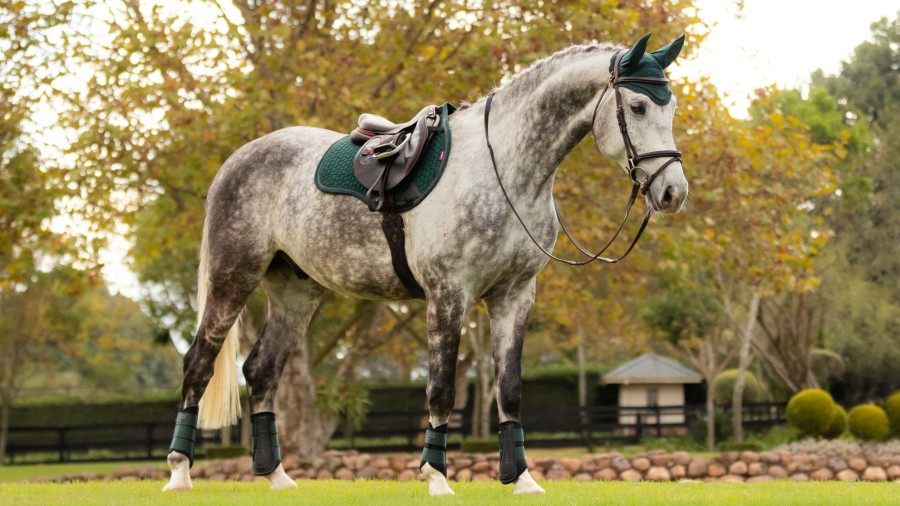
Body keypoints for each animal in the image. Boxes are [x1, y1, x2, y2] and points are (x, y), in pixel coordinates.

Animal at [163, 33, 688, 496]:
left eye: (671, 107)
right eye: (638, 107)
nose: (672, 192)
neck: (504, 169)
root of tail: (238, 160)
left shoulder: (514, 296)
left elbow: (509, 390)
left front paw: (521, 479)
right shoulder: (448, 294)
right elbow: (441, 389)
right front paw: (436, 478)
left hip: (297, 293)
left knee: (262, 372)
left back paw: (276, 477)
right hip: (232, 278)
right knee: (198, 364)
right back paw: (179, 474)